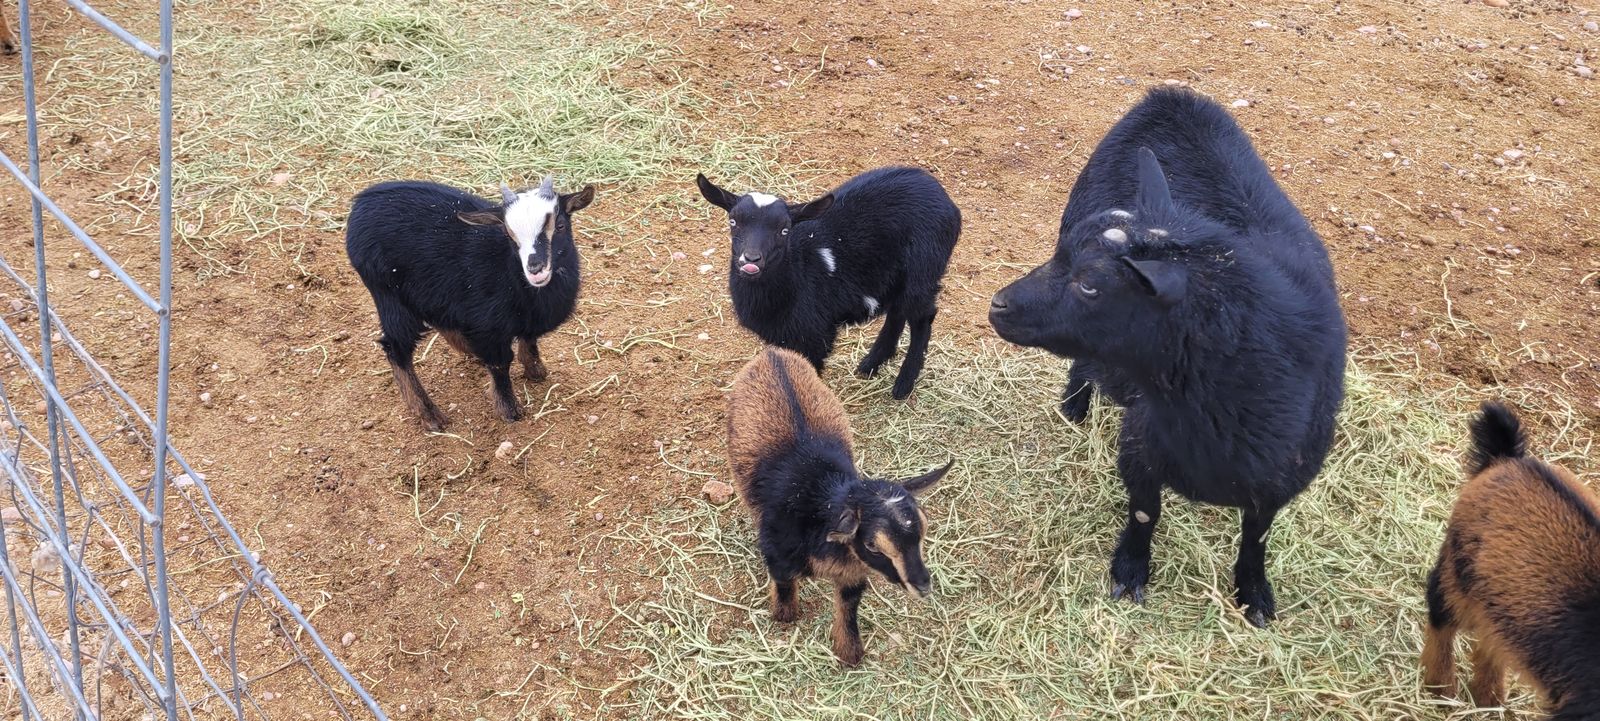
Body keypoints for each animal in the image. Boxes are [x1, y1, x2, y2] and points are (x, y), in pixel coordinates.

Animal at [345, 177, 594, 431]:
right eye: (508, 234)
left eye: (560, 225)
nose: (535, 270)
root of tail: (361, 203)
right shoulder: (489, 326)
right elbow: (500, 365)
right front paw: (509, 410)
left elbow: (529, 339)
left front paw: (535, 370)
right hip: (390, 297)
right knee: (396, 350)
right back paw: (429, 414)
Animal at [697, 167, 961, 399]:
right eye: (733, 222)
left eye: (784, 230)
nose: (750, 260)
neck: (800, 269)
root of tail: (937, 190)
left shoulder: (814, 335)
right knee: (898, 311)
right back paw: (871, 364)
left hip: (923, 270)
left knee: (922, 318)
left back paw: (903, 384)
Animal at [727, 346, 951, 665]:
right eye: (873, 546)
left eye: (923, 531)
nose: (922, 586)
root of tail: (773, 353)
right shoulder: (776, 551)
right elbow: (784, 585)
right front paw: (784, 615)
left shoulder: (852, 573)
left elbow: (848, 608)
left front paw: (849, 653)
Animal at [988, 87, 1347, 627]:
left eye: (1090, 284)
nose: (999, 304)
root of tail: (1172, 97)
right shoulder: (1141, 444)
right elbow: (1144, 512)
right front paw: (1130, 570)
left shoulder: (1282, 476)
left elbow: (1257, 535)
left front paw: (1254, 594)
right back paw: (1074, 406)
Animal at [1422, 401, 1600, 719]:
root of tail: (1507, 459)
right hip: (1458, 572)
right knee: (1441, 618)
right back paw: (1441, 690)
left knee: (1490, 641)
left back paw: (1488, 698)